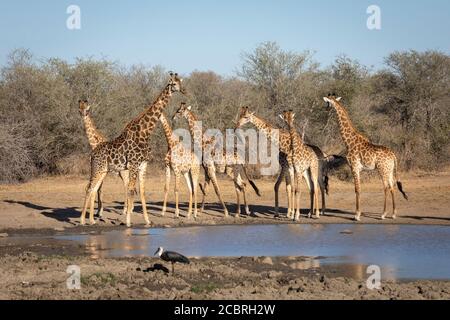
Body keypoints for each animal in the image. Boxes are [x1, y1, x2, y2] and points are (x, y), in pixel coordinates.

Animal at [80, 73, 185, 226]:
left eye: (181, 82)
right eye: (174, 84)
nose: (184, 90)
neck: (144, 132)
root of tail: (92, 153)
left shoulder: (143, 165)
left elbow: (141, 191)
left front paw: (147, 220)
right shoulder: (134, 164)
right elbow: (131, 190)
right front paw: (128, 221)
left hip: (103, 170)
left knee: (93, 188)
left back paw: (91, 220)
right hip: (97, 169)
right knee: (89, 188)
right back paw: (82, 220)